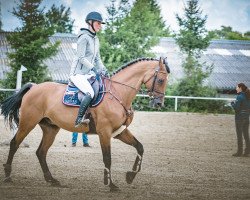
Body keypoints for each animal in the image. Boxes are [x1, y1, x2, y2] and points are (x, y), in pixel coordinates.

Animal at [0, 57, 170, 191]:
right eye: (161, 80)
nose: (159, 104)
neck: (118, 93)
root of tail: (34, 87)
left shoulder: (119, 131)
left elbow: (140, 147)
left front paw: (130, 176)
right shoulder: (105, 132)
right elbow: (107, 158)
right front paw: (111, 185)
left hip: (50, 128)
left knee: (41, 152)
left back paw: (51, 180)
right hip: (28, 123)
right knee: (15, 143)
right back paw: (8, 175)